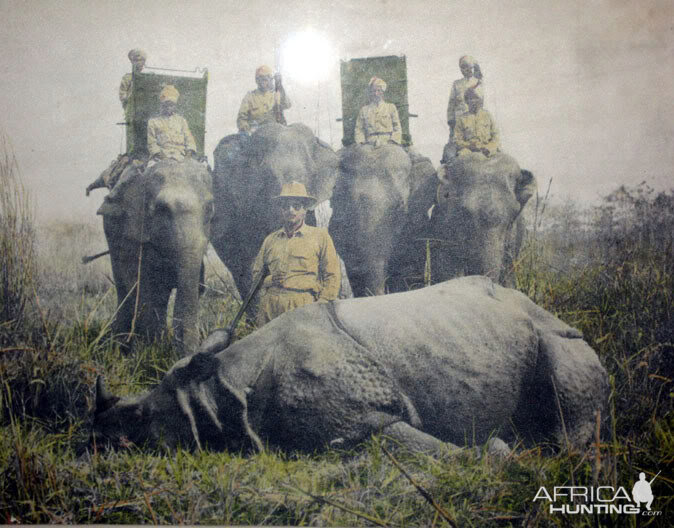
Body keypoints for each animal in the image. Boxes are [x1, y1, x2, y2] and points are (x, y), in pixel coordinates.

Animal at [92, 276, 608, 454]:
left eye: (139, 416)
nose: (96, 437)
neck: (225, 384)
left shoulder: (366, 420)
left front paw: (497, 452)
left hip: (557, 333)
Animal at [97, 158, 211, 354]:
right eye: (161, 209)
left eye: (210, 209)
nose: (192, 352)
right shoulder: (132, 232)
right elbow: (142, 285)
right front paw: (153, 350)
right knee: (126, 287)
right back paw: (120, 343)